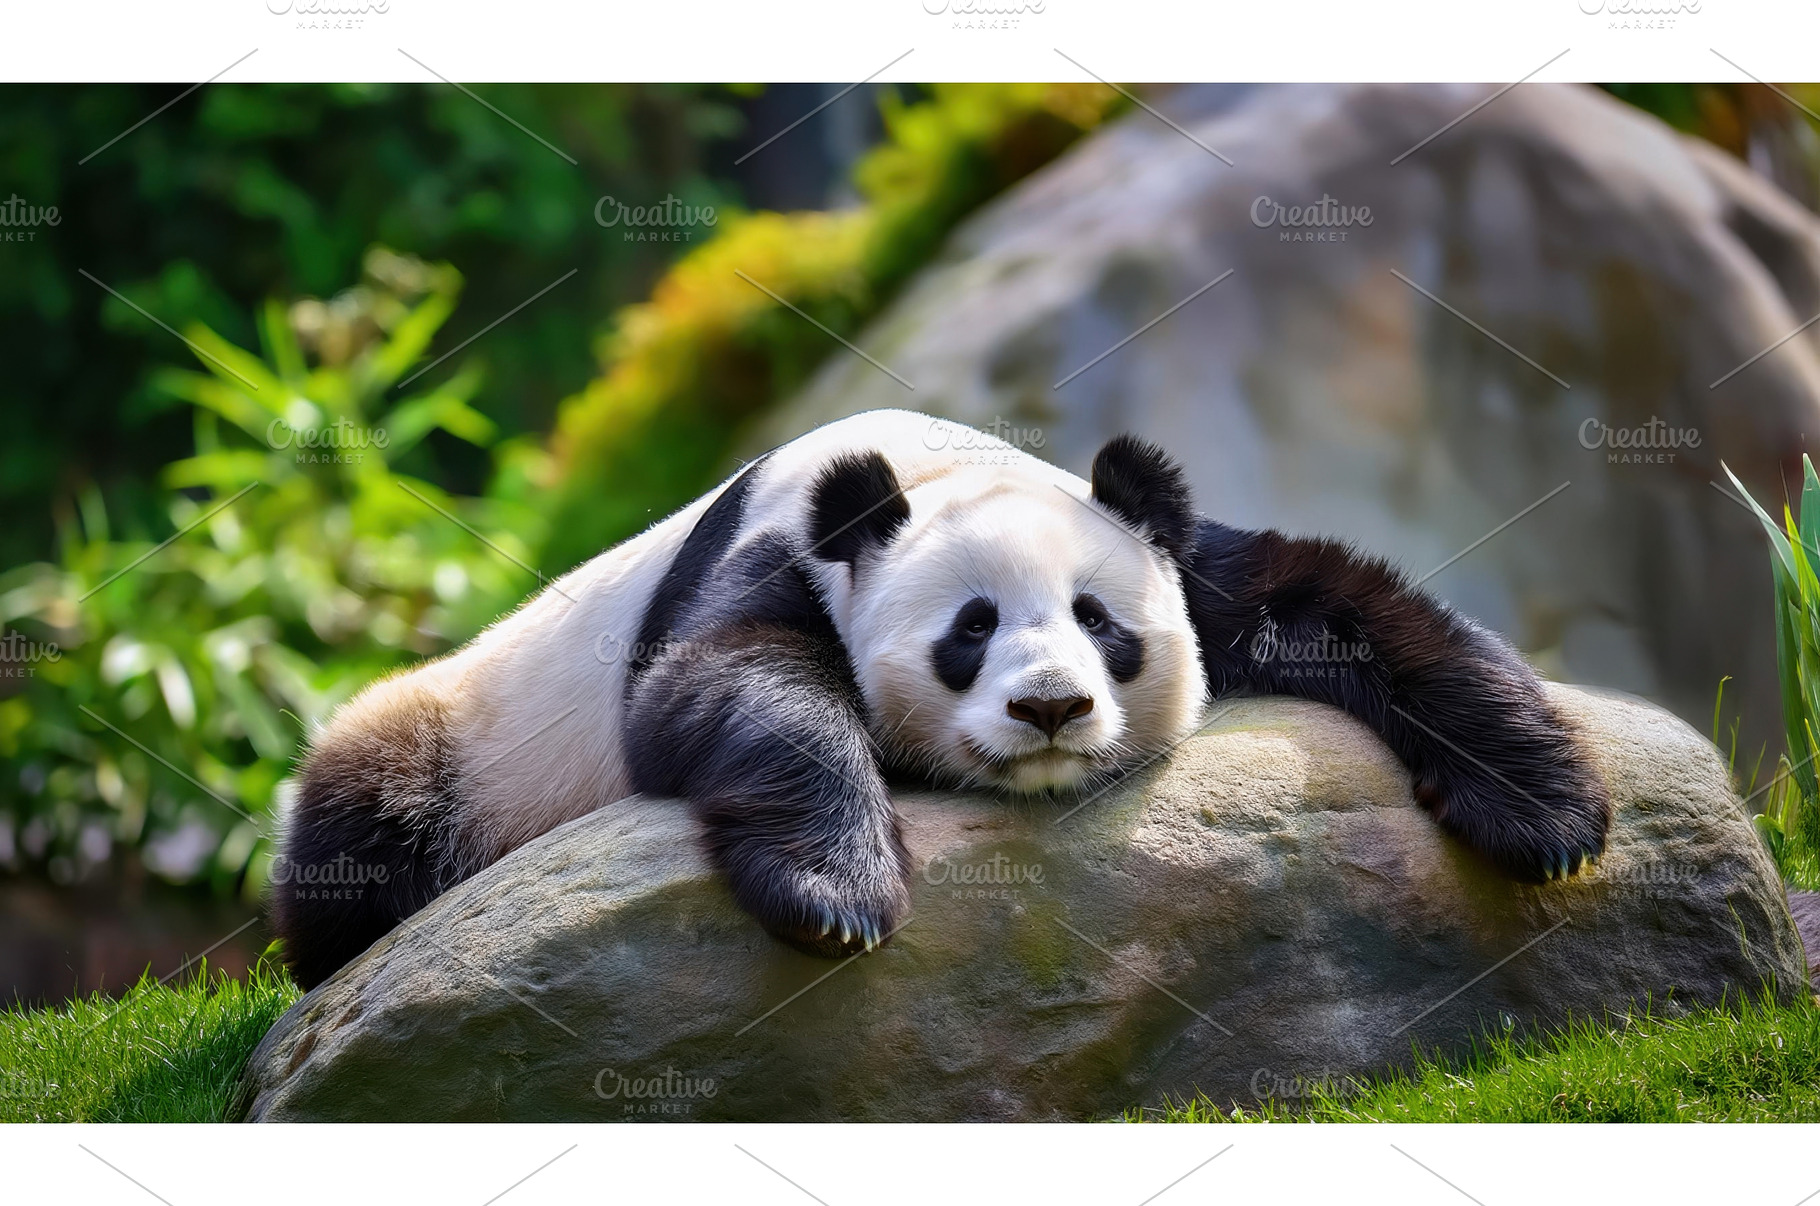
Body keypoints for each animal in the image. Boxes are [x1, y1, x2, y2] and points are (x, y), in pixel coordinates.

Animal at [272, 408, 1610, 989]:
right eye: (970, 632)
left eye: (1098, 622)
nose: (1052, 710)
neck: (928, 468)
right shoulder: (777, 559)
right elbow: (726, 690)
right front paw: (836, 893)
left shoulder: (1176, 555)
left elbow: (1341, 605)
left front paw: (1546, 813)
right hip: (445, 738)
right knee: (364, 835)